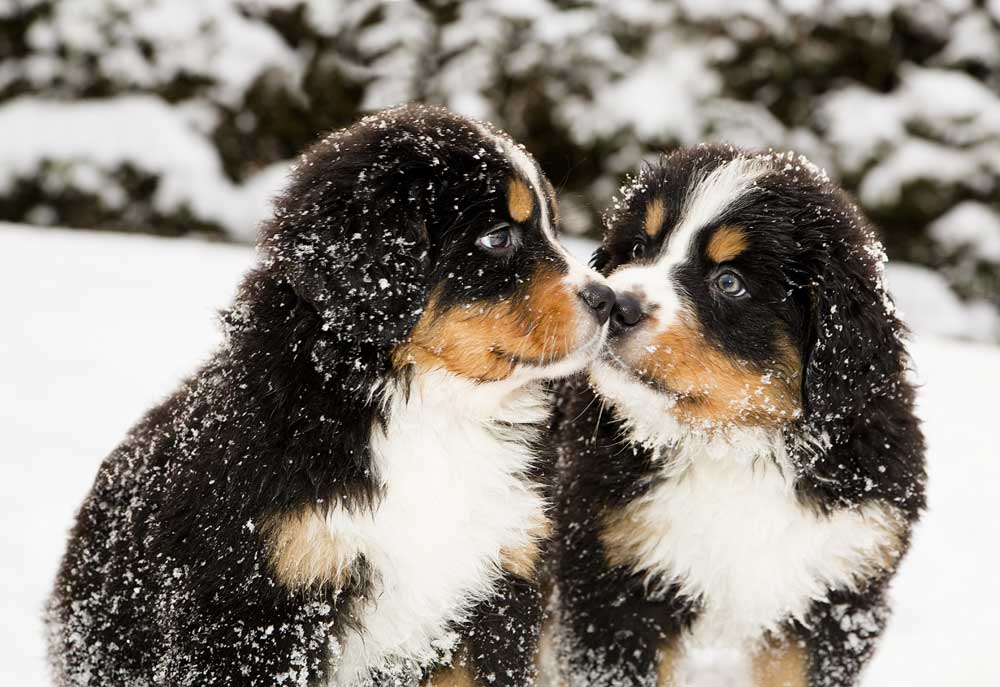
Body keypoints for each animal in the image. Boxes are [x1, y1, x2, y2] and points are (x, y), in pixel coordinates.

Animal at [48, 105, 616, 687]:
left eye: (551, 225)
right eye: (498, 237)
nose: (608, 300)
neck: (431, 412)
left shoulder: (498, 591)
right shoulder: (261, 607)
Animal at [552, 145, 924, 687]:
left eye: (729, 282)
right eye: (639, 247)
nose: (617, 303)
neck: (732, 447)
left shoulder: (837, 593)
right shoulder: (615, 584)